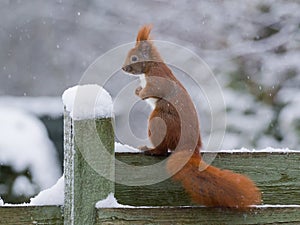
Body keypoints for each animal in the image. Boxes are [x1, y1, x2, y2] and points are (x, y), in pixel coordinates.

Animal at [121, 25, 260, 210]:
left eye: (134, 57)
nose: (123, 69)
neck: (150, 66)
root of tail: (190, 149)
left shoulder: (158, 77)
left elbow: (152, 90)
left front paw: (139, 92)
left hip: (159, 121)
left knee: (161, 150)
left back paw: (149, 149)